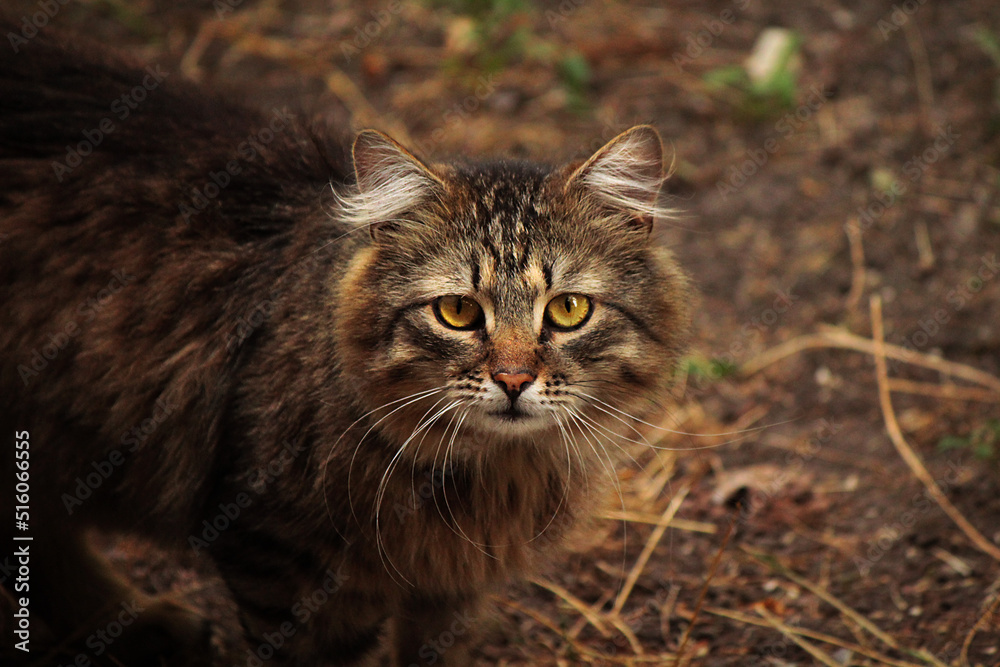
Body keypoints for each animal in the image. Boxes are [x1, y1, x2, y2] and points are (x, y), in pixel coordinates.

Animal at [0, 17, 688, 667]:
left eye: (568, 310)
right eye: (458, 311)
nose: (514, 380)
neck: (488, 477)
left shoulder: (452, 590)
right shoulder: (281, 564)